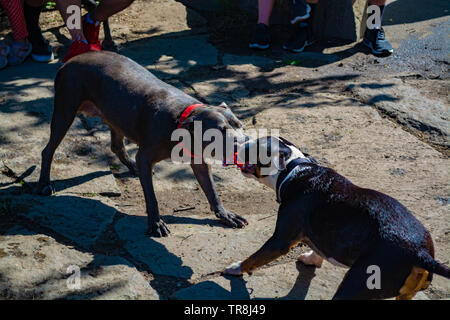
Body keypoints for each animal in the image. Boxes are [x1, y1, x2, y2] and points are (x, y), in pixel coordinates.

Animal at [37, 51, 250, 238]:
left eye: (240, 125)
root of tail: (68, 62)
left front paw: (226, 214)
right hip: (65, 111)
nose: (246, 145)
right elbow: (151, 197)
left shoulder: (199, 162)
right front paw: (155, 223)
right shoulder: (145, 157)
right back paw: (44, 184)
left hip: (115, 115)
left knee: (117, 146)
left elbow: (212, 190)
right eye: (220, 131)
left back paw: (132, 167)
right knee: (48, 150)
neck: (181, 118)